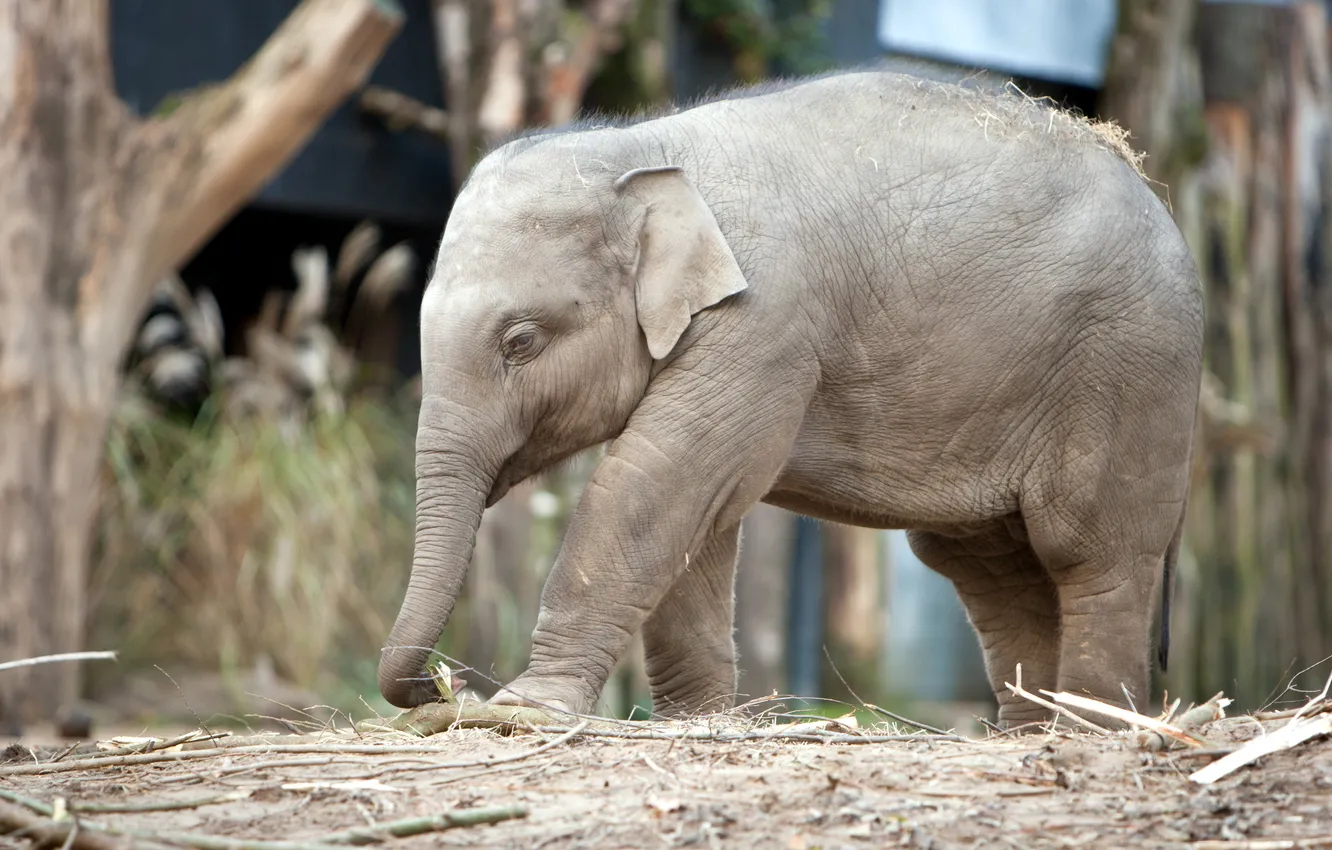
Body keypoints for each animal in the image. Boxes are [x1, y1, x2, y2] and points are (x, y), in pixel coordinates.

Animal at [376, 67, 1204, 730]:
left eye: (520, 341)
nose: (441, 687)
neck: (643, 151)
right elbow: (695, 515)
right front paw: (697, 722)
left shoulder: (765, 320)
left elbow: (657, 479)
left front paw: (520, 712)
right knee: (991, 564)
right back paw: (1028, 730)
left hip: (1130, 371)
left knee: (1092, 555)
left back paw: (1092, 729)